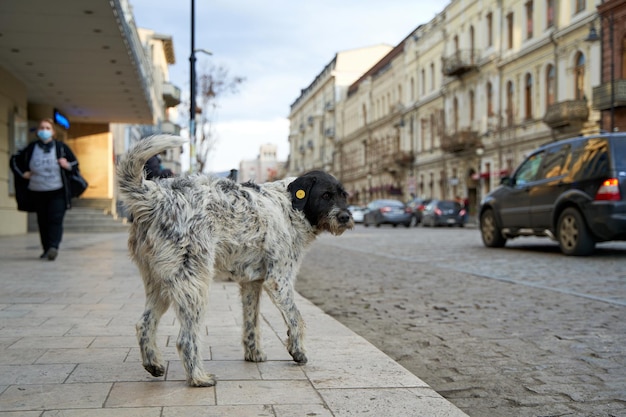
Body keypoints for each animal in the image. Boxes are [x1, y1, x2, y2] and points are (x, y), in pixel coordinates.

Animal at [117, 136, 352, 386]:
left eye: (344, 195)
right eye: (325, 196)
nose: (346, 217)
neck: (289, 206)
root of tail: (156, 196)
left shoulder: (252, 283)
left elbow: (252, 323)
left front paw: (254, 354)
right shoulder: (278, 282)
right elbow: (296, 317)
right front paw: (297, 351)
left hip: (161, 284)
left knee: (144, 324)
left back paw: (153, 364)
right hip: (194, 284)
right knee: (185, 338)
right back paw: (198, 377)